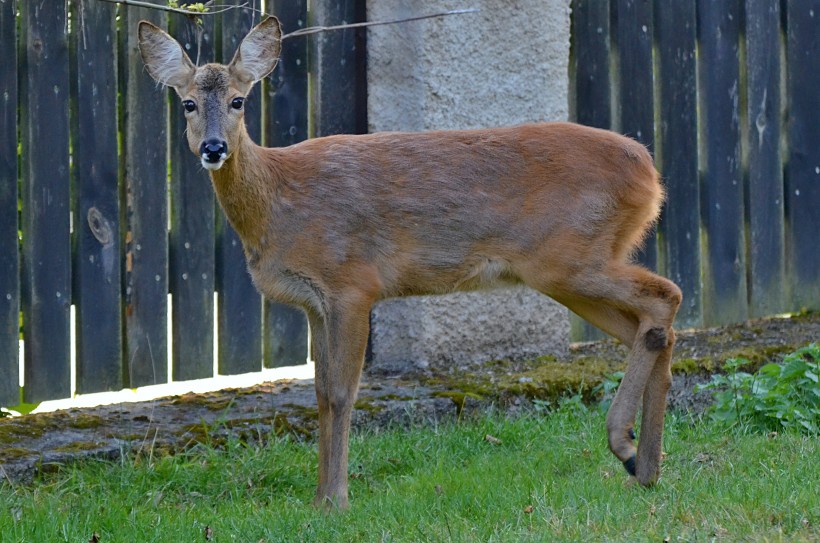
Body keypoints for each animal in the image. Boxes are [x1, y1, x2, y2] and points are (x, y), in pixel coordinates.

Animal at [139, 15, 680, 510]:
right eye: (187, 103)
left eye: (239, 101)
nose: (214, 148)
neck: (279, 201)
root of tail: (650, 174)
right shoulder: (313, 303)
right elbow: (319, 395)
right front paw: (319, 498)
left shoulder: (352, 283)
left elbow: (343, 392)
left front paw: (336, 500)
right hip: (570, 268)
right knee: (648, 326)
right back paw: (645, 467)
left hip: (571, 258)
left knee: (665, 296)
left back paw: (626, 446)